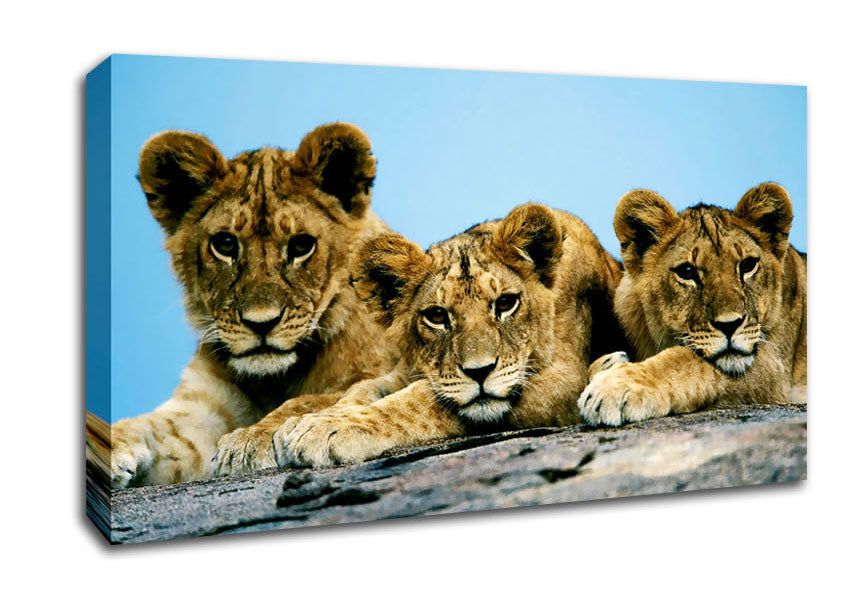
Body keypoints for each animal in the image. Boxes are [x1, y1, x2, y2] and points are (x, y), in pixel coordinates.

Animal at [104, 123, 394, 487]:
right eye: (225, 244)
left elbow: (313, 399)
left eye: (302, 246)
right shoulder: (200, 412)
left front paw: (252, 438)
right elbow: (149, 423)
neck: (273, 380)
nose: (261, 323)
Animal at [261, 203, 626, 467]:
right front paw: (302, 423)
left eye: (506, 303)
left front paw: (327, 428)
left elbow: (420, 401)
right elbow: (362, 390)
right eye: (437, 316)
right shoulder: (405, 370)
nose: (480, 372)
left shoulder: (562, 378)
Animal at [578, 182, 806, 426]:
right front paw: (607, 364)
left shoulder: (774, 367)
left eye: (747, 265)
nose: (730, 325)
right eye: (687, 272)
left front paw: (614, 387)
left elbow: (685, 362)